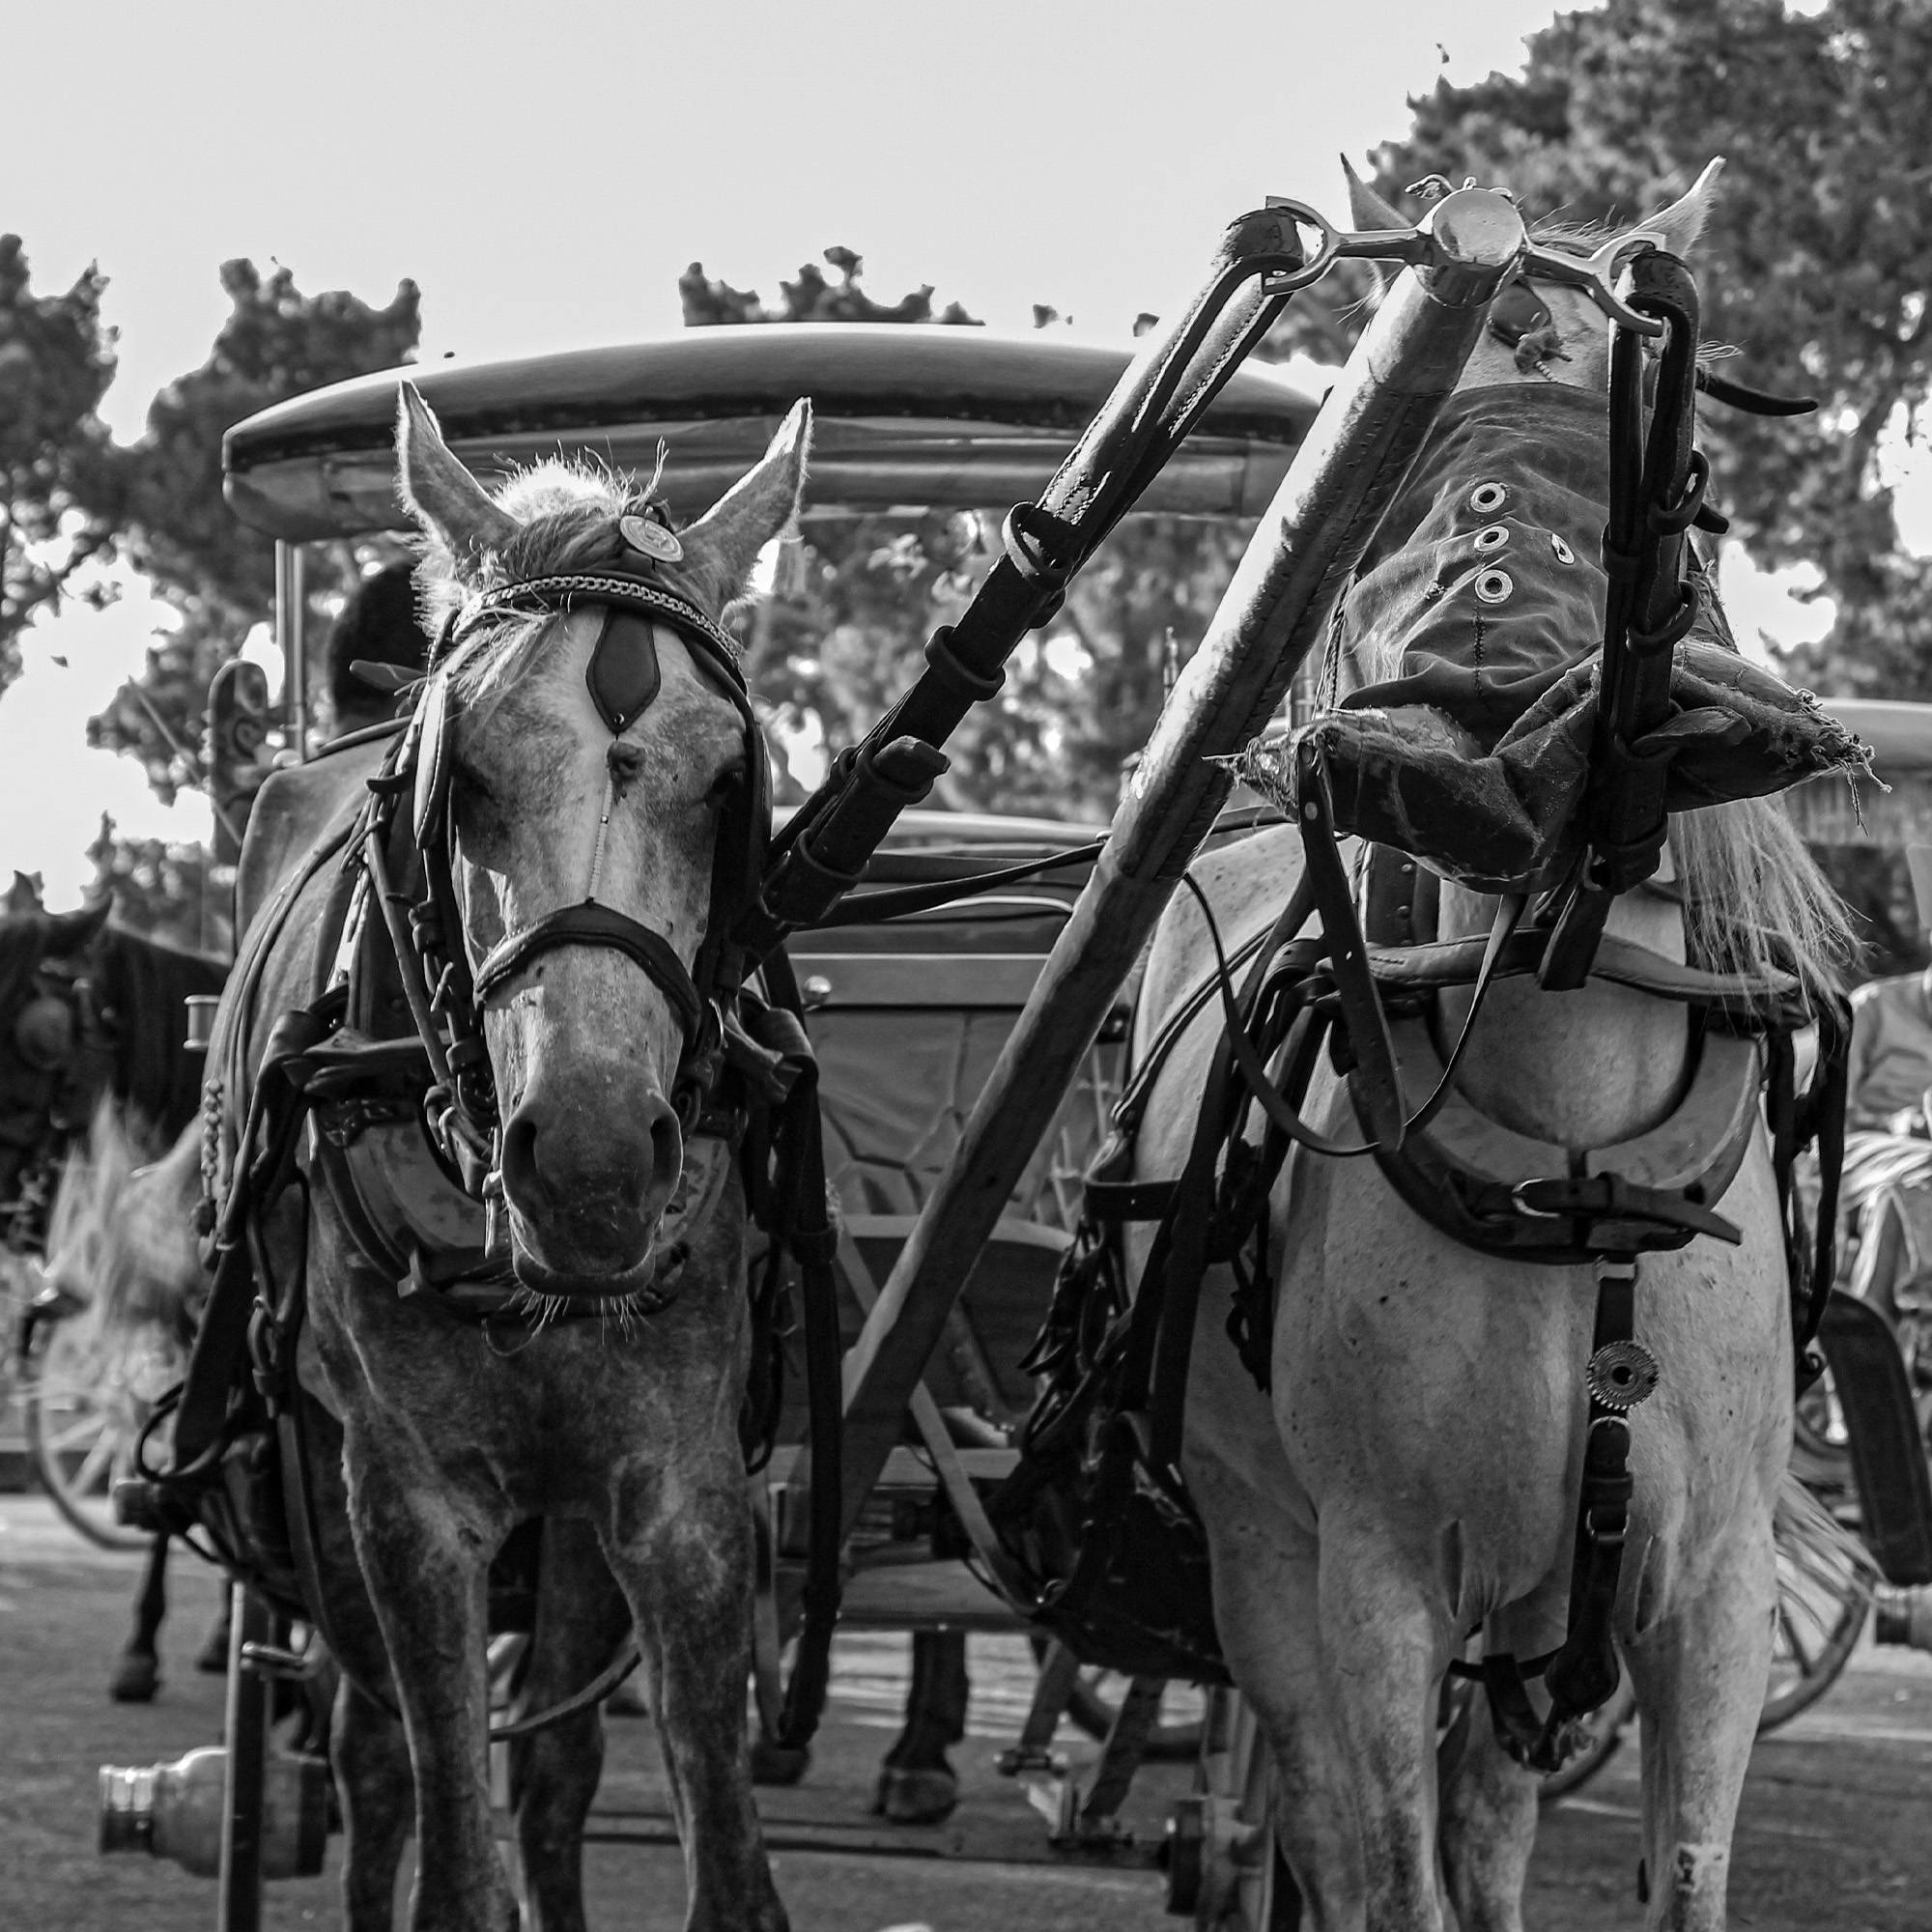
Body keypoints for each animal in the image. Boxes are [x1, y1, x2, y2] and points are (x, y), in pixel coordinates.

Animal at [208, 392, 811, 1932]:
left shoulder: (676, 1482)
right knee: (369, 1761)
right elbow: (447, 1857)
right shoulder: (404, 1500)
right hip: (312, 1478)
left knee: (551, 1774)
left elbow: (720, 1860)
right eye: (463, 774)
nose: (591, 1165)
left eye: (734, 783)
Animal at [1128, 166, 1855, 1932]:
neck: (1568, 1144)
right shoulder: (1379, 1582)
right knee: (1326, 1816)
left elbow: (1677, 1870)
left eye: (1686, 501)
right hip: (1267, 1562)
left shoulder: (1712, 1590)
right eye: (1397, 483)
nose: (1485, 711)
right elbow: (1391, 1875)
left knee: (1493, 1817)